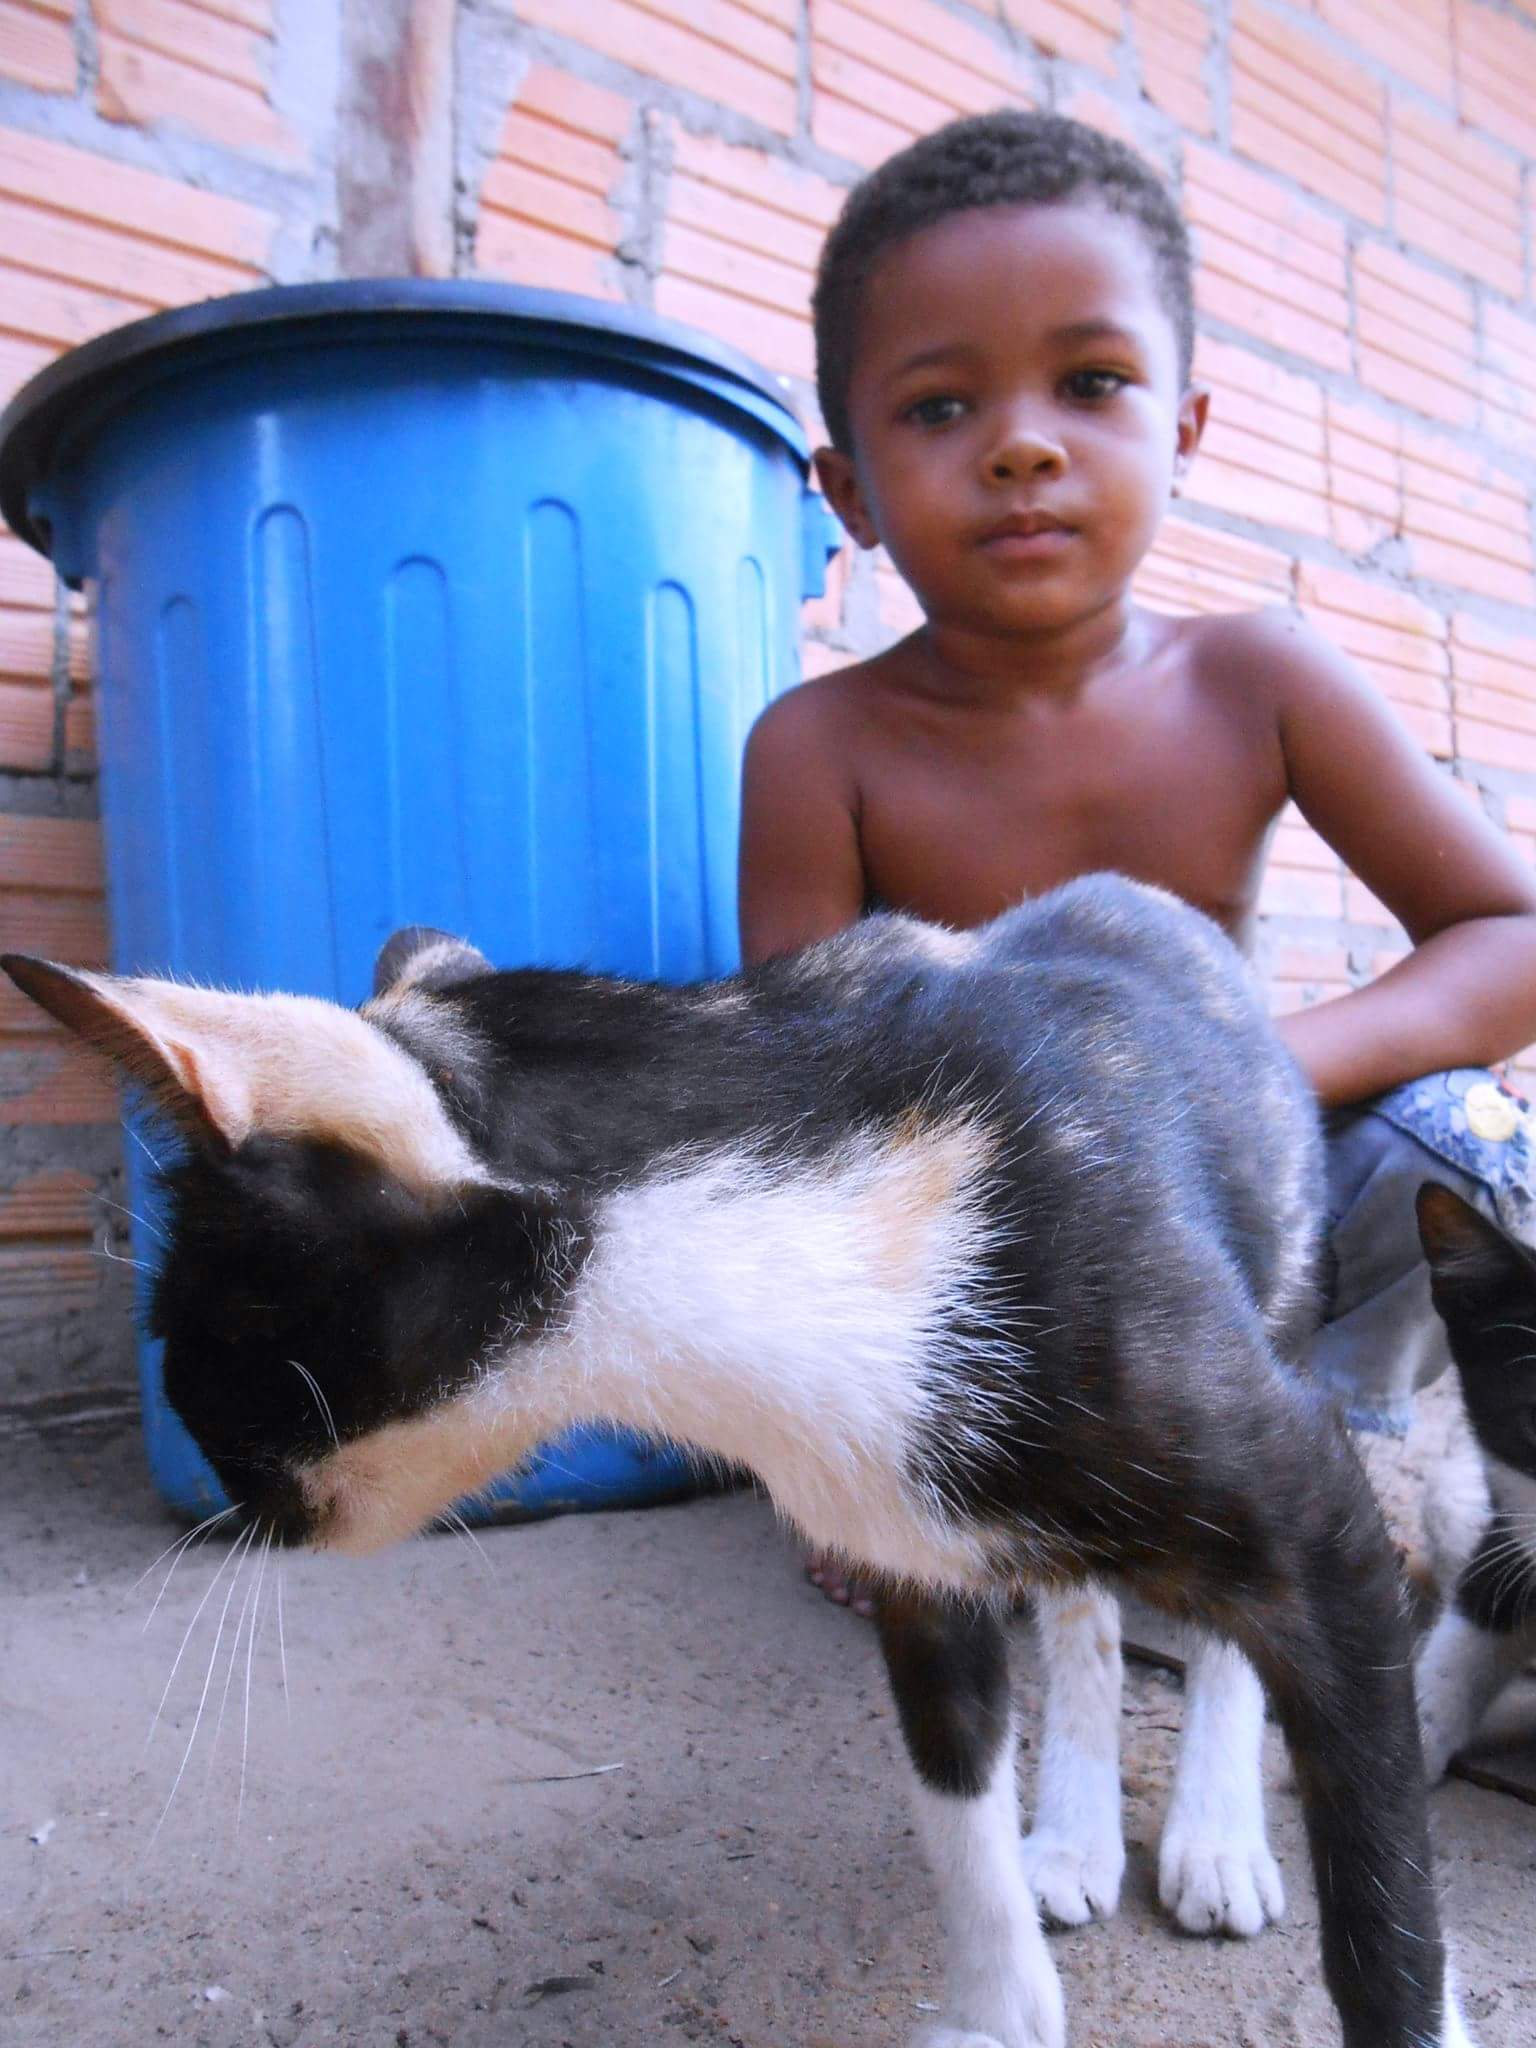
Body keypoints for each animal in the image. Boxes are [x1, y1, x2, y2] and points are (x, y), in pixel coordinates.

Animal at [3, 874, 1475, 2048]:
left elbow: (1389, 1898)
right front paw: (999, 2002)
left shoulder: (1307, 1512)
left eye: (193, 1345)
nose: (218, 1497)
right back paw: (1067, 1824)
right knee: (1079, 1604)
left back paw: (1216, 1829)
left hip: (1277, 1284)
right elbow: (951, 1777)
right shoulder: (902, 1540)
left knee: (1222, 1616)